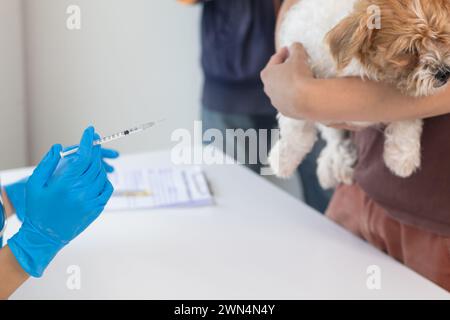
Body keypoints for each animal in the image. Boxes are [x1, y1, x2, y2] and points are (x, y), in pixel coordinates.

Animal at [268, 0, 450, 188]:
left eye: (442, 36)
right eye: (409, 49)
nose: (444, 73)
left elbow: (408, 118)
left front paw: (402, 157)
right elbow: (295, 128)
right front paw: (283, 159)